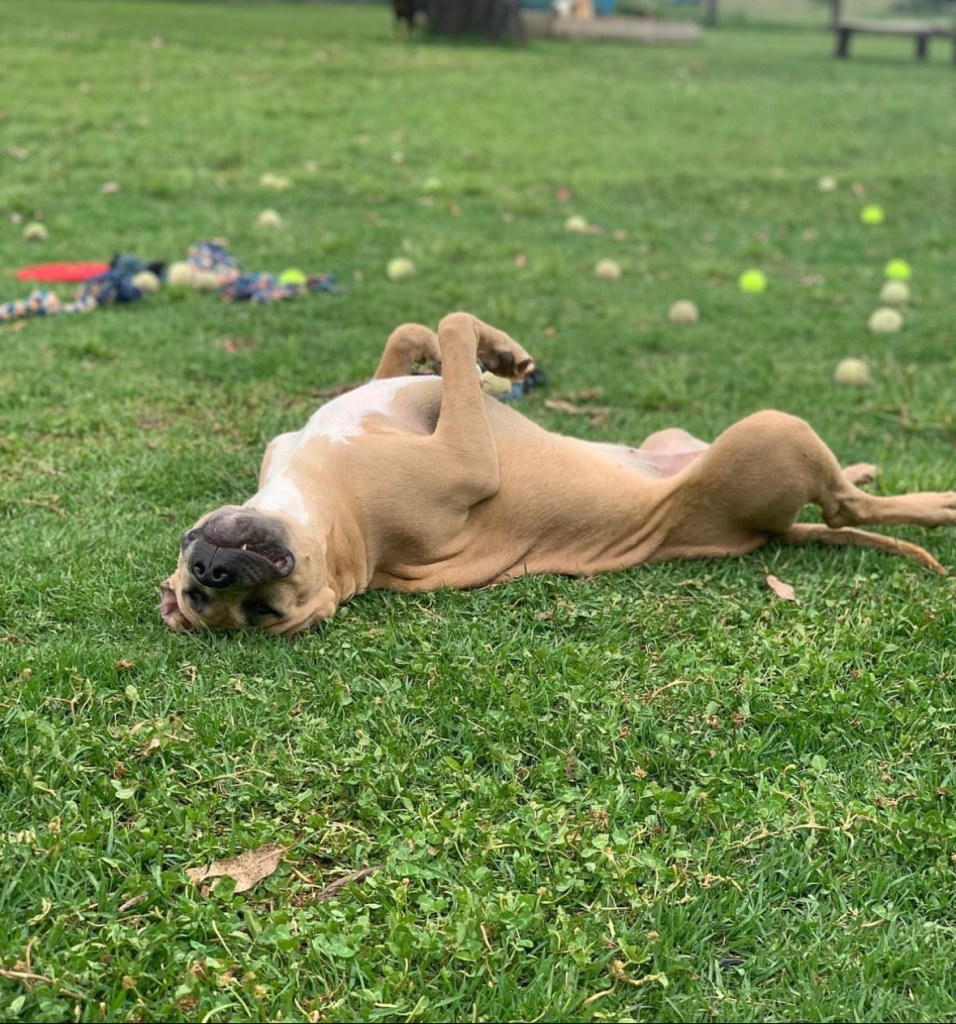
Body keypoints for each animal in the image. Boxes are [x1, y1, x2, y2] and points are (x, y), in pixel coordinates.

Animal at [161, 313, 955, 635]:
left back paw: (868, 465)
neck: (333, 518)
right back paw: (936, 502)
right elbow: (452, 326)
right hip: (771, 431)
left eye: (195, 590)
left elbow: (412, 338)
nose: (211, 573)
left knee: (841, 494)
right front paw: (489, 354)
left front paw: (497, 355)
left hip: (684, 438)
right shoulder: (465, 456)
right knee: (848, 510)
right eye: (265, 614)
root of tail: (768, 532)